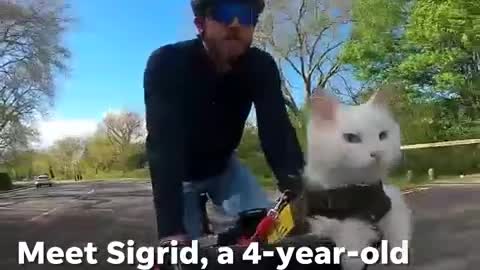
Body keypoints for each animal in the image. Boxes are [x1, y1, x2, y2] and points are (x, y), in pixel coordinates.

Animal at [304, 89, 412, 270]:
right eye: (351, 138)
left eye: (382, 135)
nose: (376, 153)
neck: (362, 190)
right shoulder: (333, 222)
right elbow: (350, 240)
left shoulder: (392, 202)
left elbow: (398, 233)